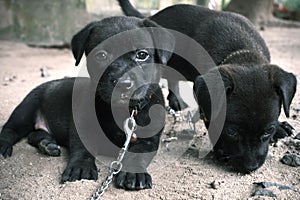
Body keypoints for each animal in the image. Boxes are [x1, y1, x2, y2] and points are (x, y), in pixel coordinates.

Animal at [0, 16, 173, 190]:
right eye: (101, 56)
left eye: (142, 55)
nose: (123, 83)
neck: (120, 110)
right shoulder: (82, 125)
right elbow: (82, 148)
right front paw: (80, 167)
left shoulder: (148, 140)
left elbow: (137, 155)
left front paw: (134, 173)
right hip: (26, 110)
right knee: (10, 129)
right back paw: (6, 145)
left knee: (34, 135)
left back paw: (47, 143)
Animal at [118, 0, 296, 172]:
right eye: (231, 132)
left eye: (268, 131)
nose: (250, 167)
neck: (242, 52)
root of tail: (152, 17)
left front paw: (280, 127)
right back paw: (174, 100)